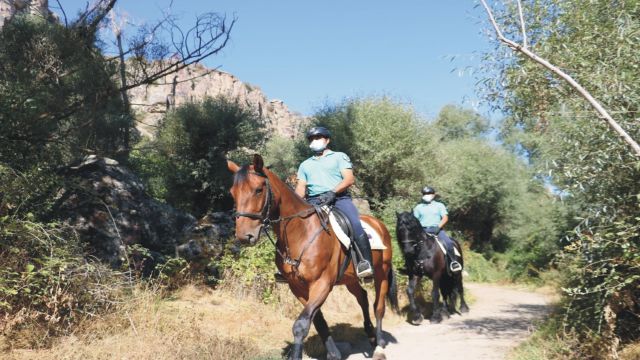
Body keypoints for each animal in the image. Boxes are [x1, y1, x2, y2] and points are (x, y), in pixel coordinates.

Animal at [228, 155, 398, 360]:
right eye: (233, 193)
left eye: (258, 190)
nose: (244, 236)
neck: (301, 233)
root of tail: (379, 224)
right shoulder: (298, 287)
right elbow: (318, 321)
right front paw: (334, 354)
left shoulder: (322, 284)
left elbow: (301, 325)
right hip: (350, 279)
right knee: (363, 298)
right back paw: (371, 337)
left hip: (381, 273)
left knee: (378, 307)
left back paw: (379, 347)